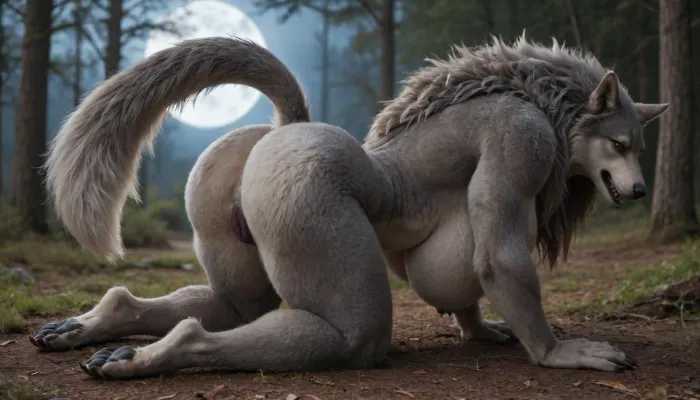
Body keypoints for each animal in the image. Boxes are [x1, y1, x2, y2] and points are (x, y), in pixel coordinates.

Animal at [34, 34, 668, 380]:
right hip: (311, 215)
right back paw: (144, 358)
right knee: (342, 334)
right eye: (620, 144)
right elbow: (498, 259)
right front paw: (558, 353)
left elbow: (466, 283)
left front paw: (479, 329)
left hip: (229, 237)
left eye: (640, 147)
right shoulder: (523, 142)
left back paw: (87, 330)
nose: (640, 192)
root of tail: (283, 131)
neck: (534, 96)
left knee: (229, 306)